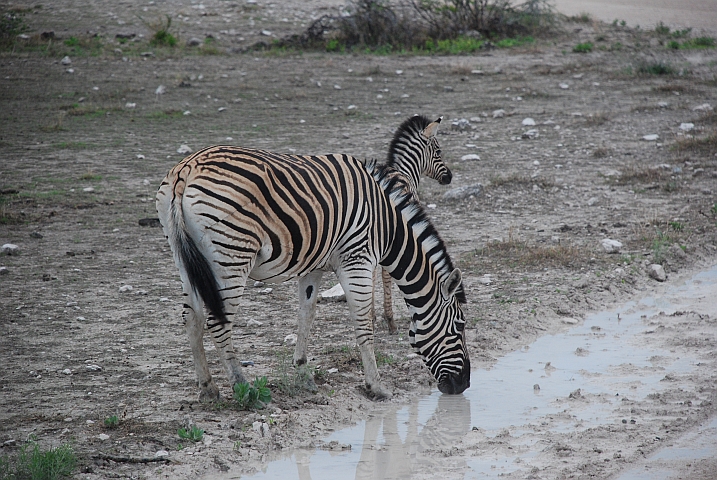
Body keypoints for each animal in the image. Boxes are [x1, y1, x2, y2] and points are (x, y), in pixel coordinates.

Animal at [157, 142, 470, 402]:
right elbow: (363, 324)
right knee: (217, 322)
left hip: (185, 258)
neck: (388, 226)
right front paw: (376, 386)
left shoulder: (314, 267)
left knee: (192, 319)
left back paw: (208, 388)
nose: (464, 385)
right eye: (460, 327)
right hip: (231, 256)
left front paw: (303, 374)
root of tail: (188, 167)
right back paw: (242, 386)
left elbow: (306, 315)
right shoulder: (358, 259)